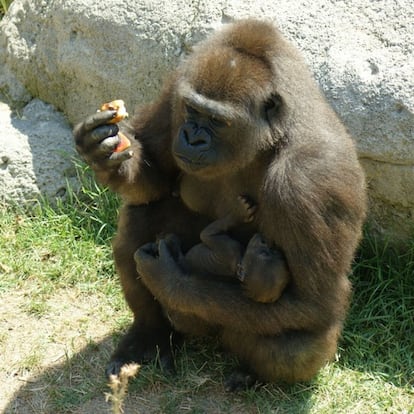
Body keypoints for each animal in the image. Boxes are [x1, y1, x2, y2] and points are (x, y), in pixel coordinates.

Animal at [73, 18, 368, 388]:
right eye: (193, 110)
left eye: (217, 121)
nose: (192, 137)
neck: (270, 137)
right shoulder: (179, 84)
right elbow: (155, 180)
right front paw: (100, 152)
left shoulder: (312, 178)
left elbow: (312, 304)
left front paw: (170, 279)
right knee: (137, 227)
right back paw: (149, 334)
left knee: (296, 343)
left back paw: (252, 374)